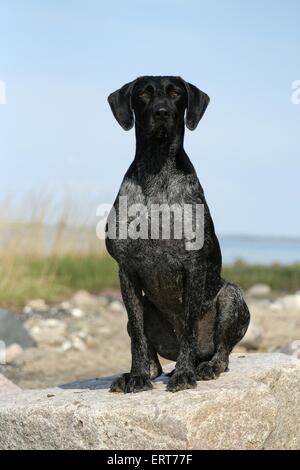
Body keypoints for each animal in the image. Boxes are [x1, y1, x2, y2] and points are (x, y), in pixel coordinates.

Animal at [105, 76, 248, 392]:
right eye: (144, 94)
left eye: (175, 94)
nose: (162, 112)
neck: (157, 171)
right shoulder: (126, 271)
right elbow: (138, 337)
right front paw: (137, 376)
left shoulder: (193, 267)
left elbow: (189, 328)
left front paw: (184, 374)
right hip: (145, 307)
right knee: (151, 354)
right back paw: (140, 373)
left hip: (231, 296)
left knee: (222, 352)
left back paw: (205, 367)